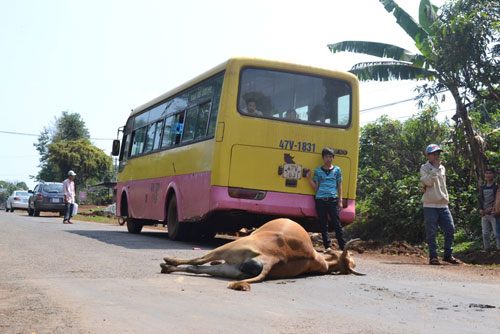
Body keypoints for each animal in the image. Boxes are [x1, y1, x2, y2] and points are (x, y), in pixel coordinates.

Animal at [160, 218, 364, 290]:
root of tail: (271, 260)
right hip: (231, 269)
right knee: (197, 268)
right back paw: (168, 267)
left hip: (230, 248)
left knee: (199, 260)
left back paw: (168, 262)